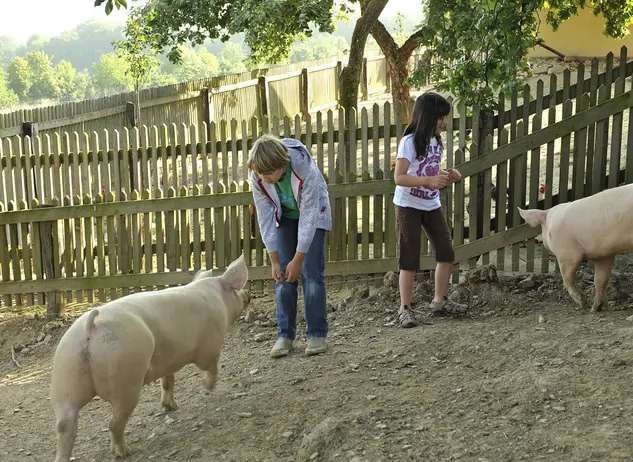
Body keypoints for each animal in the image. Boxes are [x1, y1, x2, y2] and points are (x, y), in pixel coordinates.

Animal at [50, 254, 252, 460]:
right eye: (236, 290)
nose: (248, 294)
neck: (217, 296)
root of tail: (91, 327)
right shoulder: (210, 346)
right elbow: (212, 366)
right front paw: (208, 388)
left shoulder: (168, 360)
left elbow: (168, 381)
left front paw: (171, 407)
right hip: (125, 377)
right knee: (114, 423)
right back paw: (124, 452)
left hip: (65, 374)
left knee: (64, 425)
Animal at [516, 184, 632, 314]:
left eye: (545, 230)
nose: (544, 243)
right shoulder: (604, 254)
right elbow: (600, 280)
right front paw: (596, 308)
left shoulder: (567, 254)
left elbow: (567, 279)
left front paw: (583, 304)